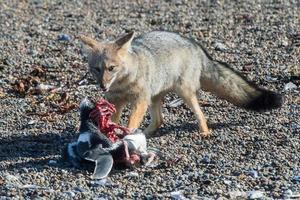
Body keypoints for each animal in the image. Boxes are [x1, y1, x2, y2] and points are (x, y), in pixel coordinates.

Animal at [78, 30, 282, 136]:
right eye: (96, 69)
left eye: (111, 68)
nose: (103, 86)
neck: (123, 84)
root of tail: (196, 45)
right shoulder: (116, 101)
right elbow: (113, 121)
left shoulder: (140, 100)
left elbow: (131, 121)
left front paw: (125, 135)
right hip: (155, 98)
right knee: (159, 121)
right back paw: (145, 134)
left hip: (184, 94)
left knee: (200, 114)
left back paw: (205, 133)